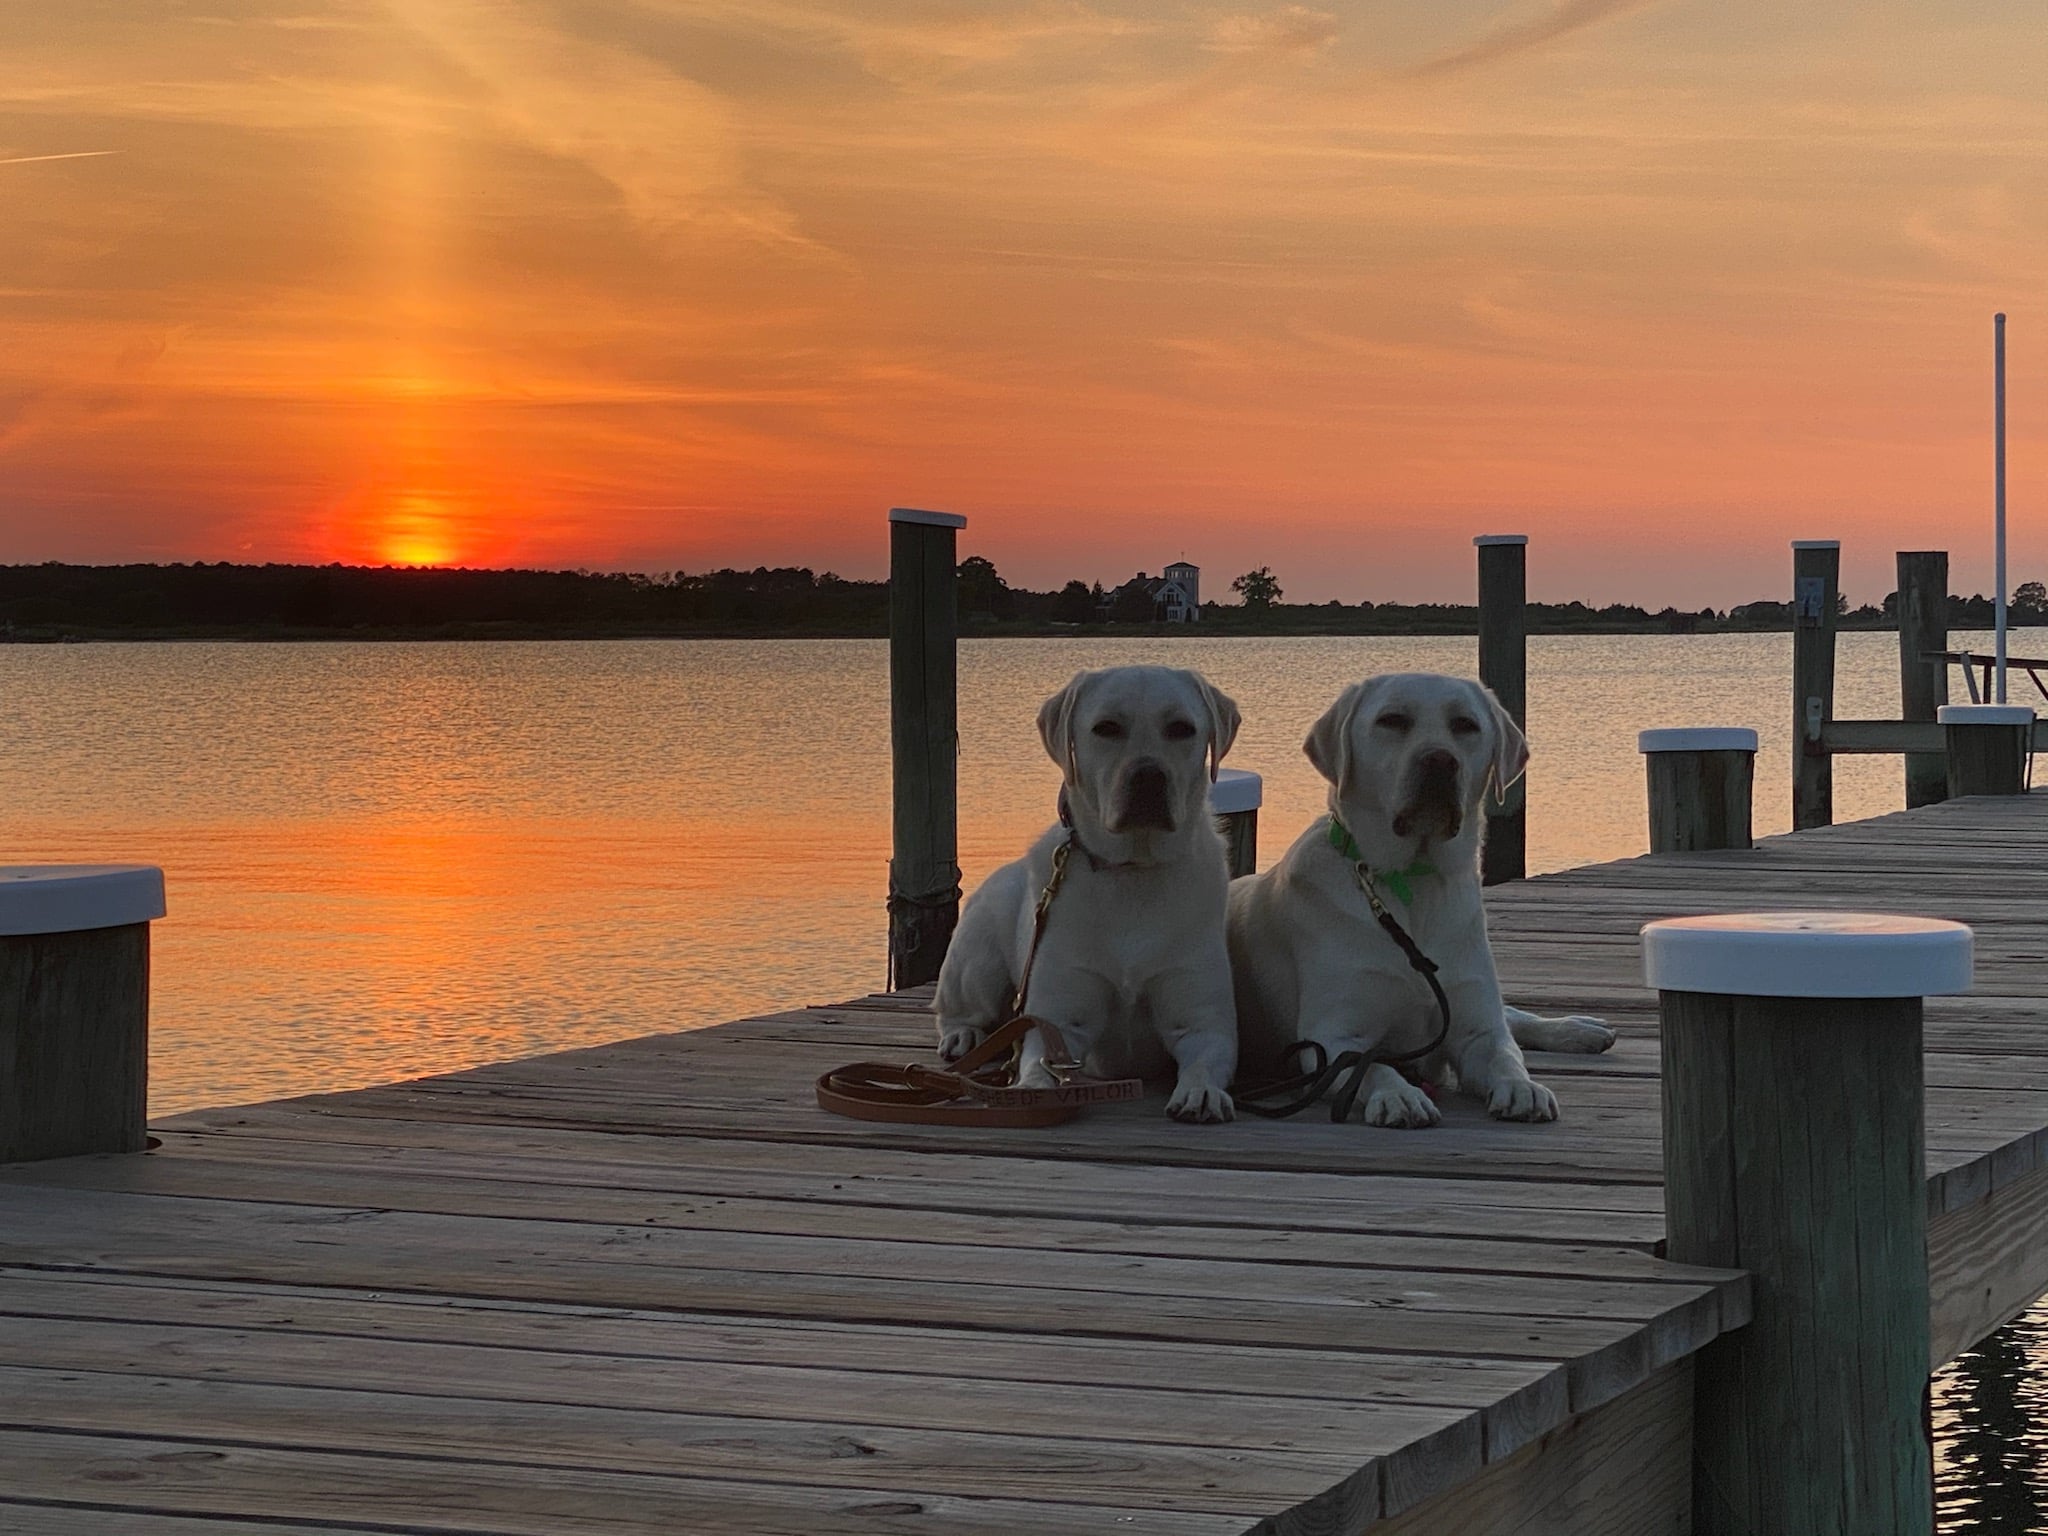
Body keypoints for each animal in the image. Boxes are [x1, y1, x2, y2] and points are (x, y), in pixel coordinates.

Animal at [933, 667, 1245, 1122]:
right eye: (1106, 728)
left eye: (1182, 728)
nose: (1148, 776)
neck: (1131, 871)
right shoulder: (1060, 1020)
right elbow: (1038, 1059)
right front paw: (1032, 1089)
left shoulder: (1202, 1022)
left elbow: (1203, 1059)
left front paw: (1201, 1092)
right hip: (977, 962)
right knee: (956, 1009)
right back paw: (962, 1036)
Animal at [1220, 671, 1605, 1130]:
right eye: (1392, 720)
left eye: (1465, 725)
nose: (1440, 760)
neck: (1413, 883)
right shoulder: (1333, 1038)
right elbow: (1372, 1065)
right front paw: (1399, 1096)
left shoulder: (1476, 1027)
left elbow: (1505, 1055)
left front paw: (1523, 1087)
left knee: (1512, 1018)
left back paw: (1579, 1029)